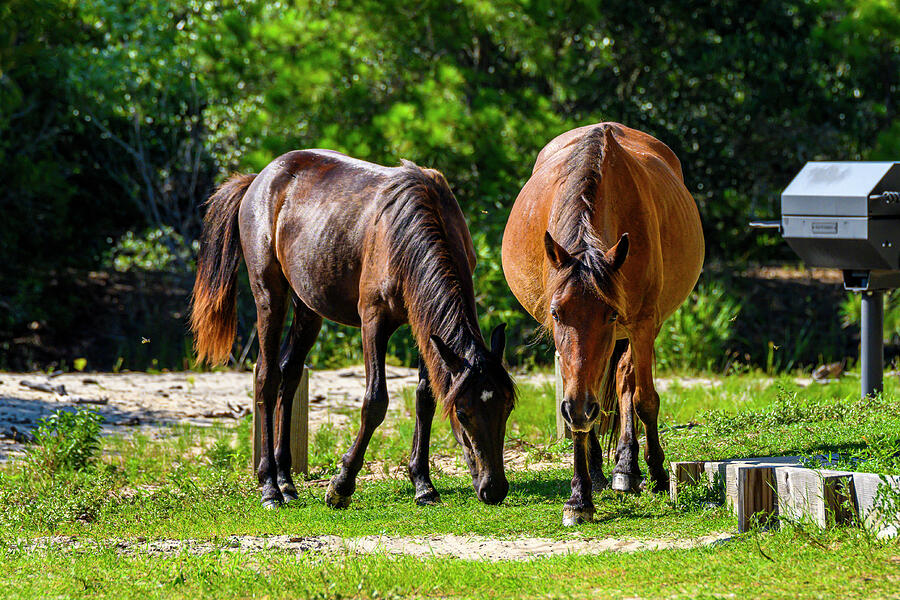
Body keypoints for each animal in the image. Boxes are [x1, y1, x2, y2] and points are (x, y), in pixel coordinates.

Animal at [191, 150, 516, 509]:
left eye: (507, 407)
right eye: (463, 412)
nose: (494, 488)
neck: (408, 230)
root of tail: (259, 179)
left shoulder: (424, 325)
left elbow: (425, 397)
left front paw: (423, 483)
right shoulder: (373, 322)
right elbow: (375, 402)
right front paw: (341, 484)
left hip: (308, 308)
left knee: (289, 375)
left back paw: (287, 481)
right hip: (269, 297)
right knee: (267, 377)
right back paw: (270, 487)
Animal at [501, 123, 704, 525]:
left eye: (609, 314)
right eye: (556, 313)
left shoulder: (642, 324)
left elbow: (644, 400)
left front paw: (657, 474)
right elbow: (579, 413)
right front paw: (579, 497)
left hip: (641, 332)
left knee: (626, 382)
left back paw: (627, 467)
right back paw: (598, 470)